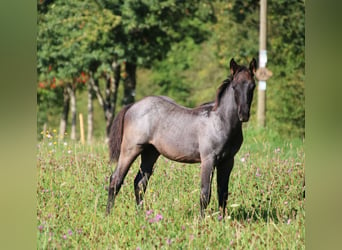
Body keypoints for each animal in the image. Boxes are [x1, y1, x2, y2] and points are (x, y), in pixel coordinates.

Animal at [107, 58, 256, 217]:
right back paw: (108, 214)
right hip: (131, 149)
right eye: (234, 87)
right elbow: (205, 193)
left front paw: (221, 219)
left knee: (140, 183)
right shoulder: (208, 160)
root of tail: (132, 105)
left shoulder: (228, 161)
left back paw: (141, 215)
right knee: (115, 180)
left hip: (150, 153)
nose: (244, 114)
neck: (221, 121)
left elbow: (223, 193)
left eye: (252, 86)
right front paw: (202, 220)